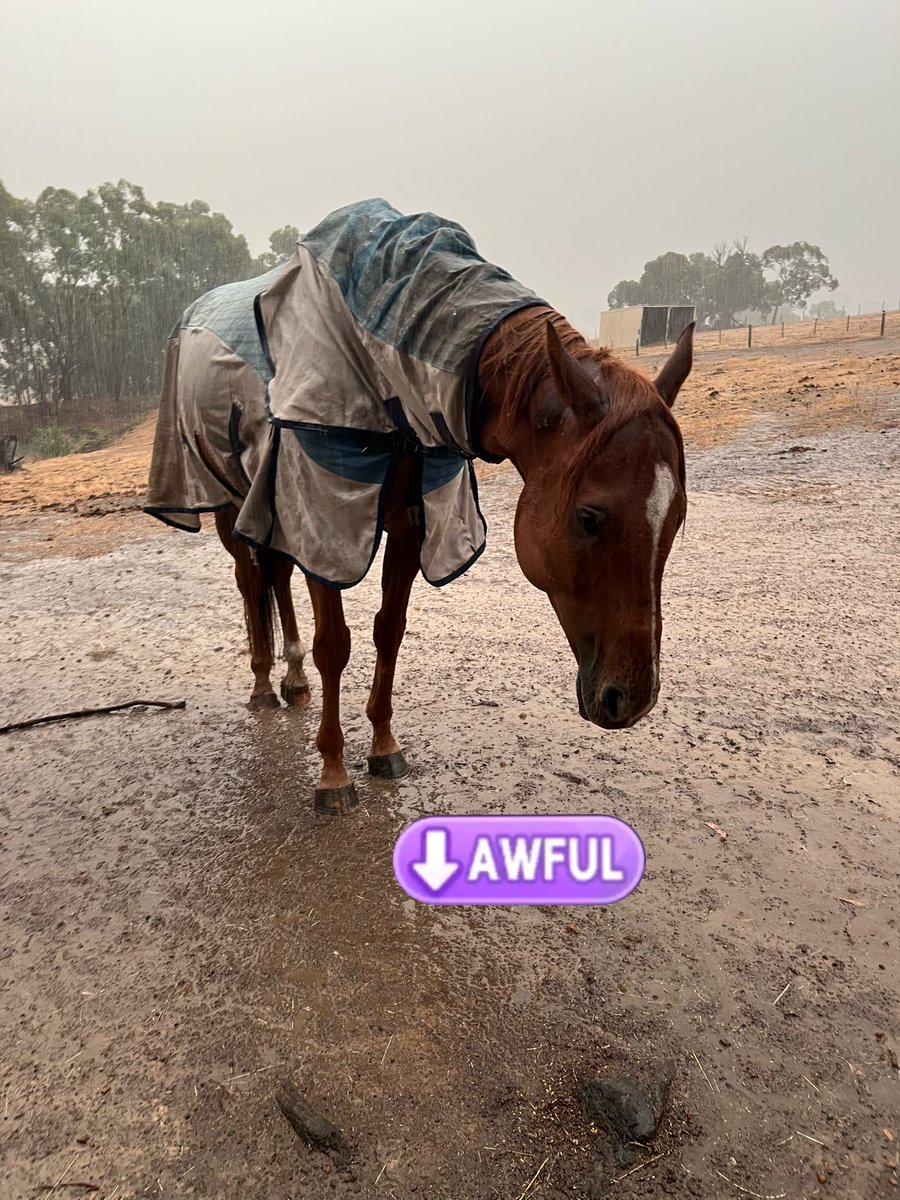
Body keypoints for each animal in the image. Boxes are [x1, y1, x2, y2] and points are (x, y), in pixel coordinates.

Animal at [146, 200, 690, 815]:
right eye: (589, 518)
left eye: (675, 519)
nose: (633, 699)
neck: (383, 364)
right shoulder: (327, 517)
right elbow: (335, 646)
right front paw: (333, 773)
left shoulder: (409, 523)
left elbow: (390, 630)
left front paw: (384, 746)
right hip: (230, 505)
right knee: (249, 581)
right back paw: (264, 683)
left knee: (278, 575)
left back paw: (293, 680)